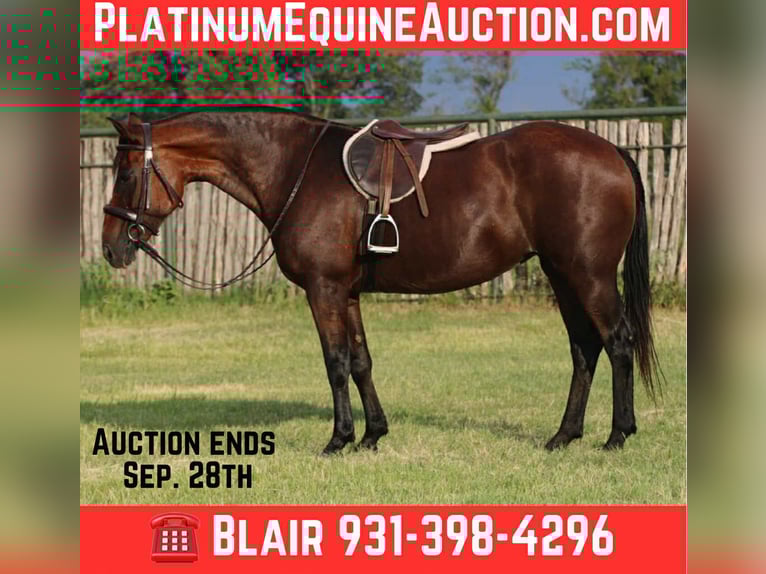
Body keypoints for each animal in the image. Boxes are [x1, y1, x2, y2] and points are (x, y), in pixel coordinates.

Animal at [101, 109, 661, 455]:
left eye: (125, 174)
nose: (110, 248)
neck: (295, 167)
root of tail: (611, 151)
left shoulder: (323, 289)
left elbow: (335, 363)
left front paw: (338, 439)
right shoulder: (346, 292)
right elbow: (361, 361)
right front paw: (372, 435)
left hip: (587, 275)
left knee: (617, 342)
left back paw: (617, 435)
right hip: (562, 275)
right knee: (584, 349)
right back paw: (564, 436)